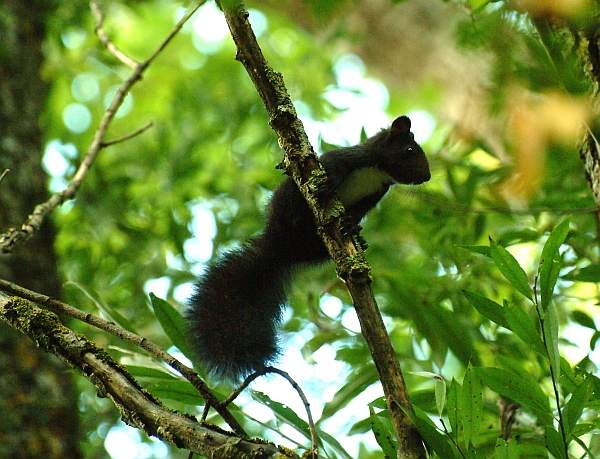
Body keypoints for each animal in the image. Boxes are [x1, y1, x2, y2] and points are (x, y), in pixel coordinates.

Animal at [185, 117, 428, 382]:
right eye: (410, 150)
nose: (426, 177)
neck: (376, 173)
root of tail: (281, 249)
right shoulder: (347, 158)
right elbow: (330, 167)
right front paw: (329, 185)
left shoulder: (372, 196)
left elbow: (355, 213)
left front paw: (352, 227)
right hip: (288, 199)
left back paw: (357, 240)